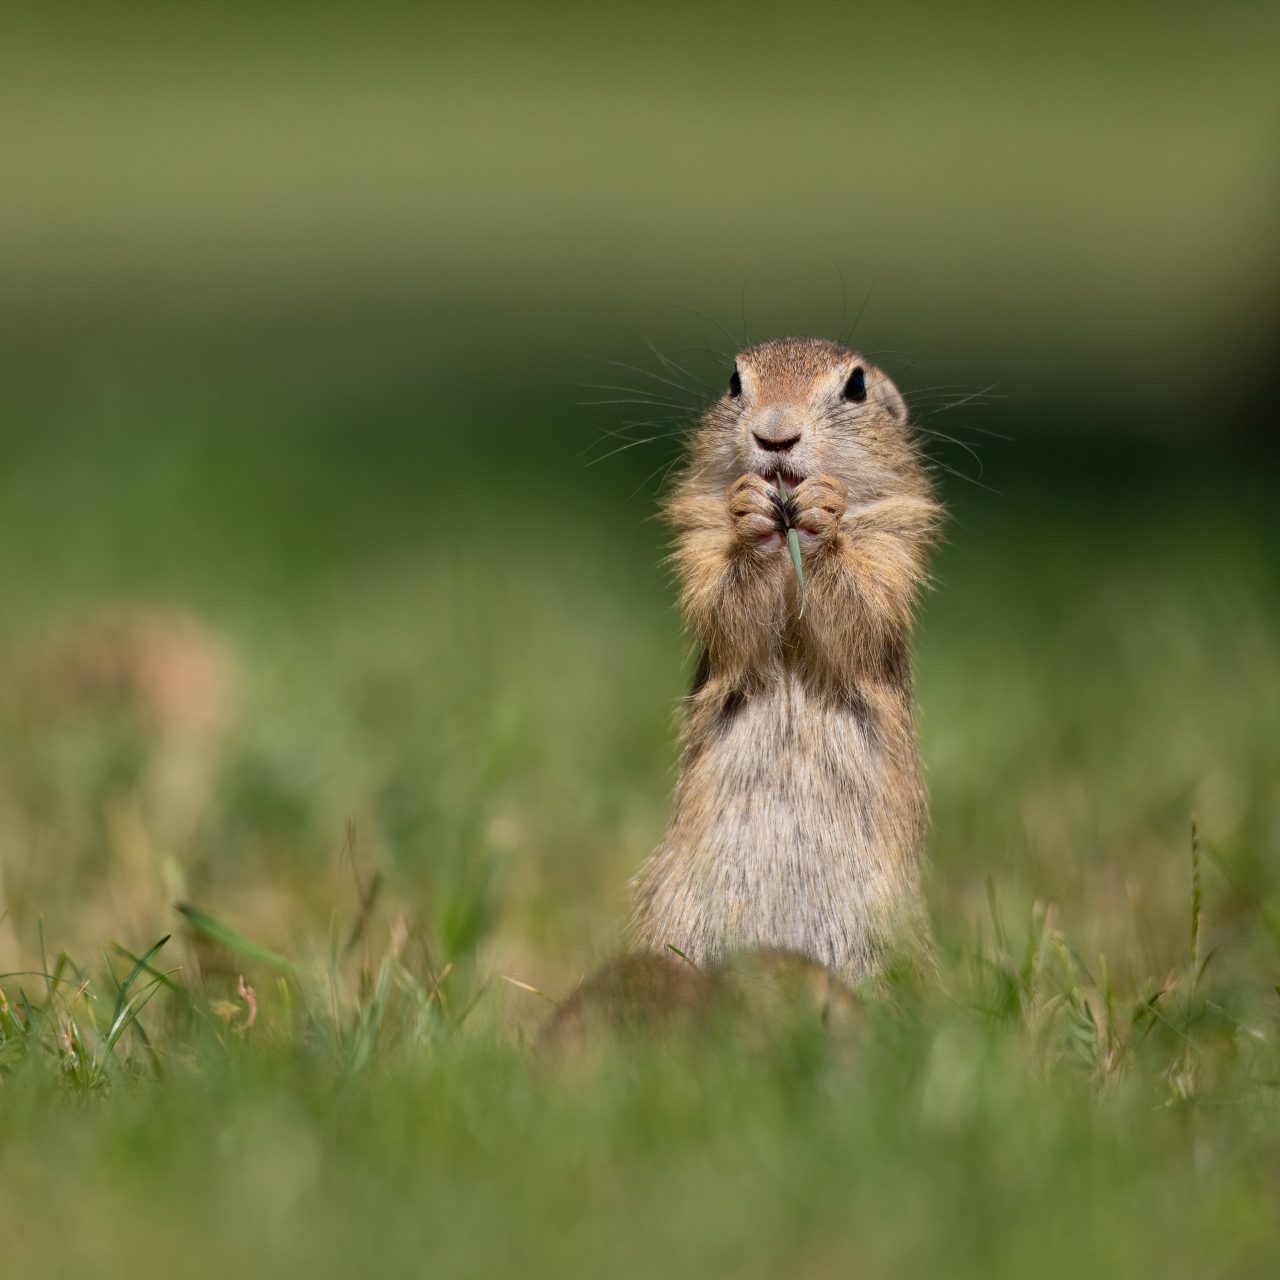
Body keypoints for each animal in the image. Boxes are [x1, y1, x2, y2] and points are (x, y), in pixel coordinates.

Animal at [632, 337, 942, 977]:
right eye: (733, 382)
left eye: (856, 386)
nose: (775, 436)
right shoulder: (700, 536)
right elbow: (728, 606)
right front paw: (750, 511)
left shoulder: (894, 540)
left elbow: (861, 605)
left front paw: (824, 514)